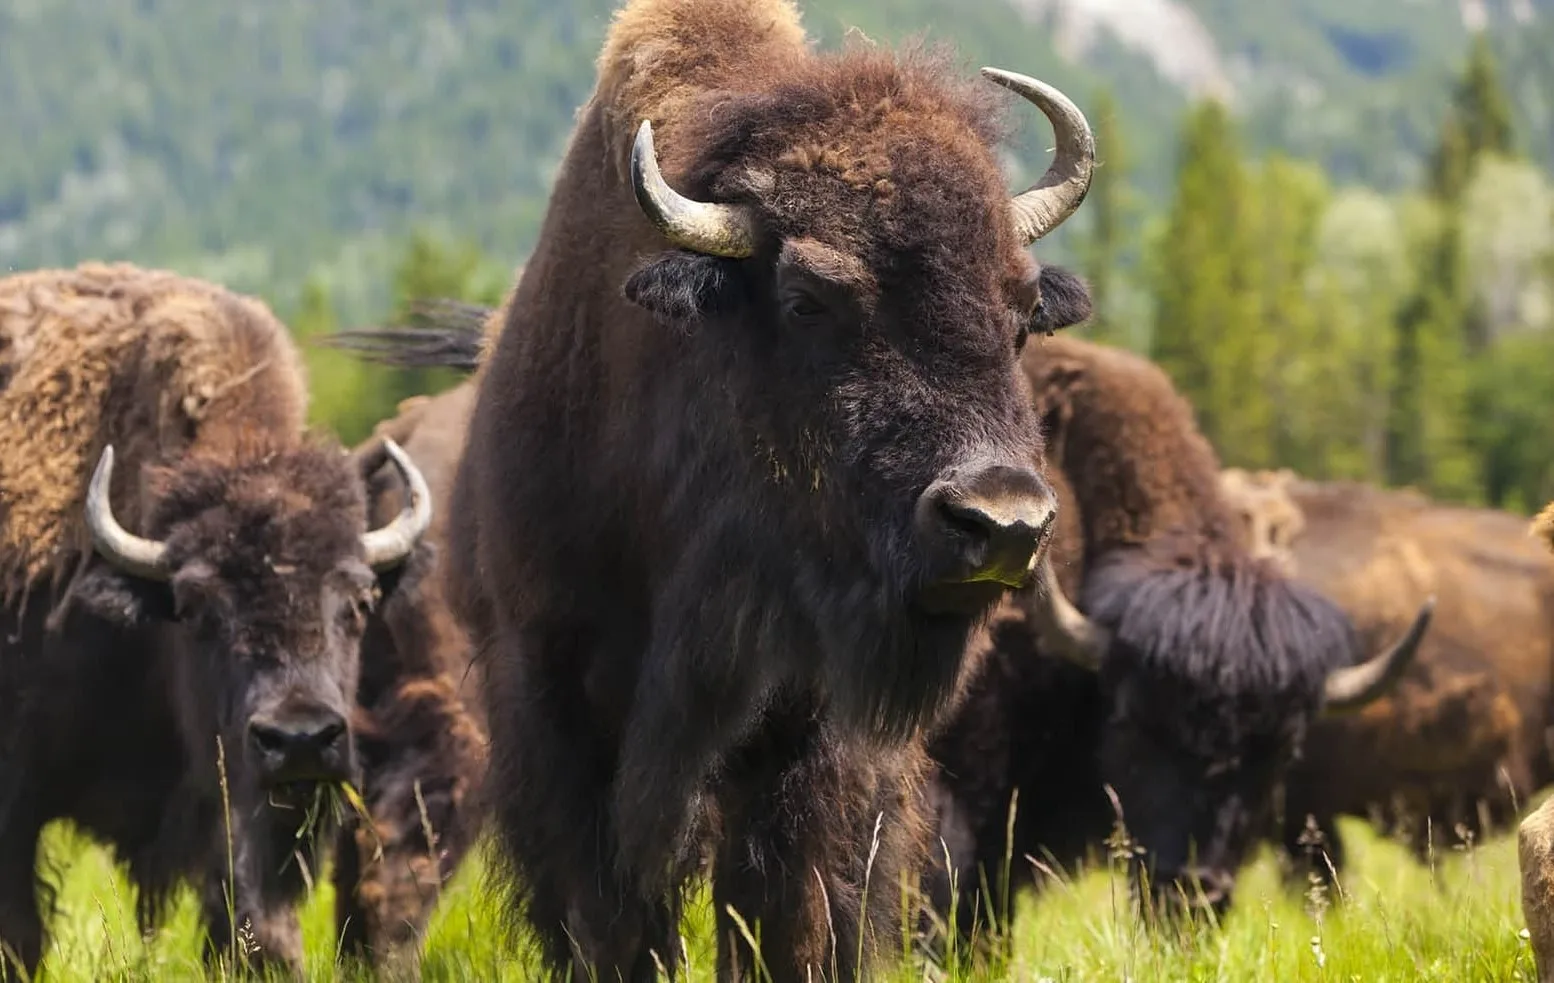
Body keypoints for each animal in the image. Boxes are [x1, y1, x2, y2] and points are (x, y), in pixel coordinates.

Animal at [0, 263, 431, 976]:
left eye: (360, 599)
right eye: (197, 607)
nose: (300, 739)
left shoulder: (237, 806)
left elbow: (248, 914)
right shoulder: (18, 792)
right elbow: (20, 932)